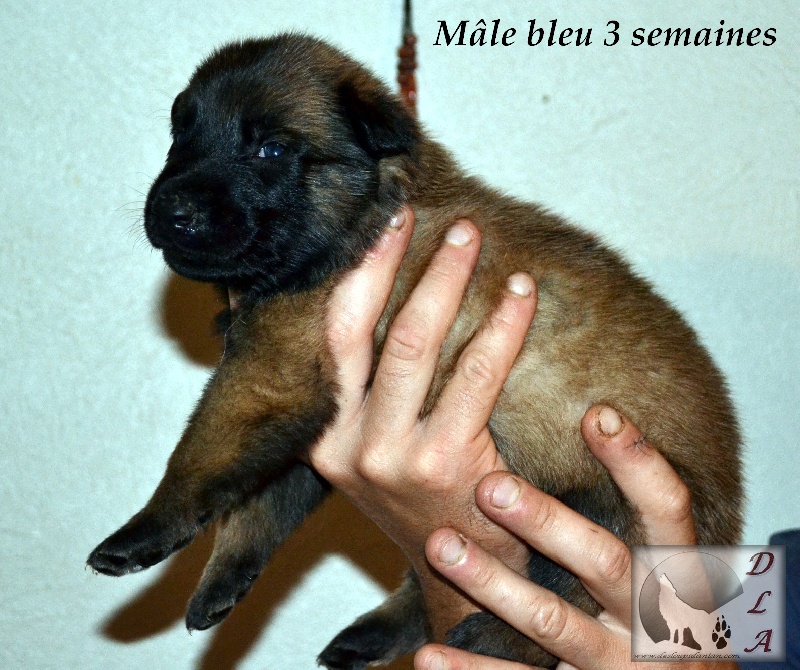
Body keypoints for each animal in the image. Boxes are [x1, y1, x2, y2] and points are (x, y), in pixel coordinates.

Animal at [87, 34, 743, 668]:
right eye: (181, 135)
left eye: (270, 150)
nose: (170, 210)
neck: (370, 209)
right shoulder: (305, 418)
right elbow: (259, 509)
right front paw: (220, 580)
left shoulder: (271, 374)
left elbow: (200, 456)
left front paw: (142, 530)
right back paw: (374, 634)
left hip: (594, 510)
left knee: (560, 602)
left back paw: (490, 640)